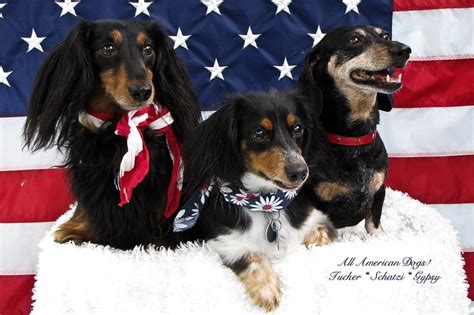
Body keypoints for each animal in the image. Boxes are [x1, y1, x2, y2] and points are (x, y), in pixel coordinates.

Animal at [175, 90, 336, 312]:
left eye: (297, 128)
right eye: (258, 133)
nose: (300, 172)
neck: (266, 203)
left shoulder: (318, 221)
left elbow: (318, 238)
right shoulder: (226, 243)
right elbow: (252, 258)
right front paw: (267, 291)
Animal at [296, 26, 412, 235]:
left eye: (385, 35)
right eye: (355, 39)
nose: (404, 50)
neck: (352, 139)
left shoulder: (379, 191)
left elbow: (374, 223)